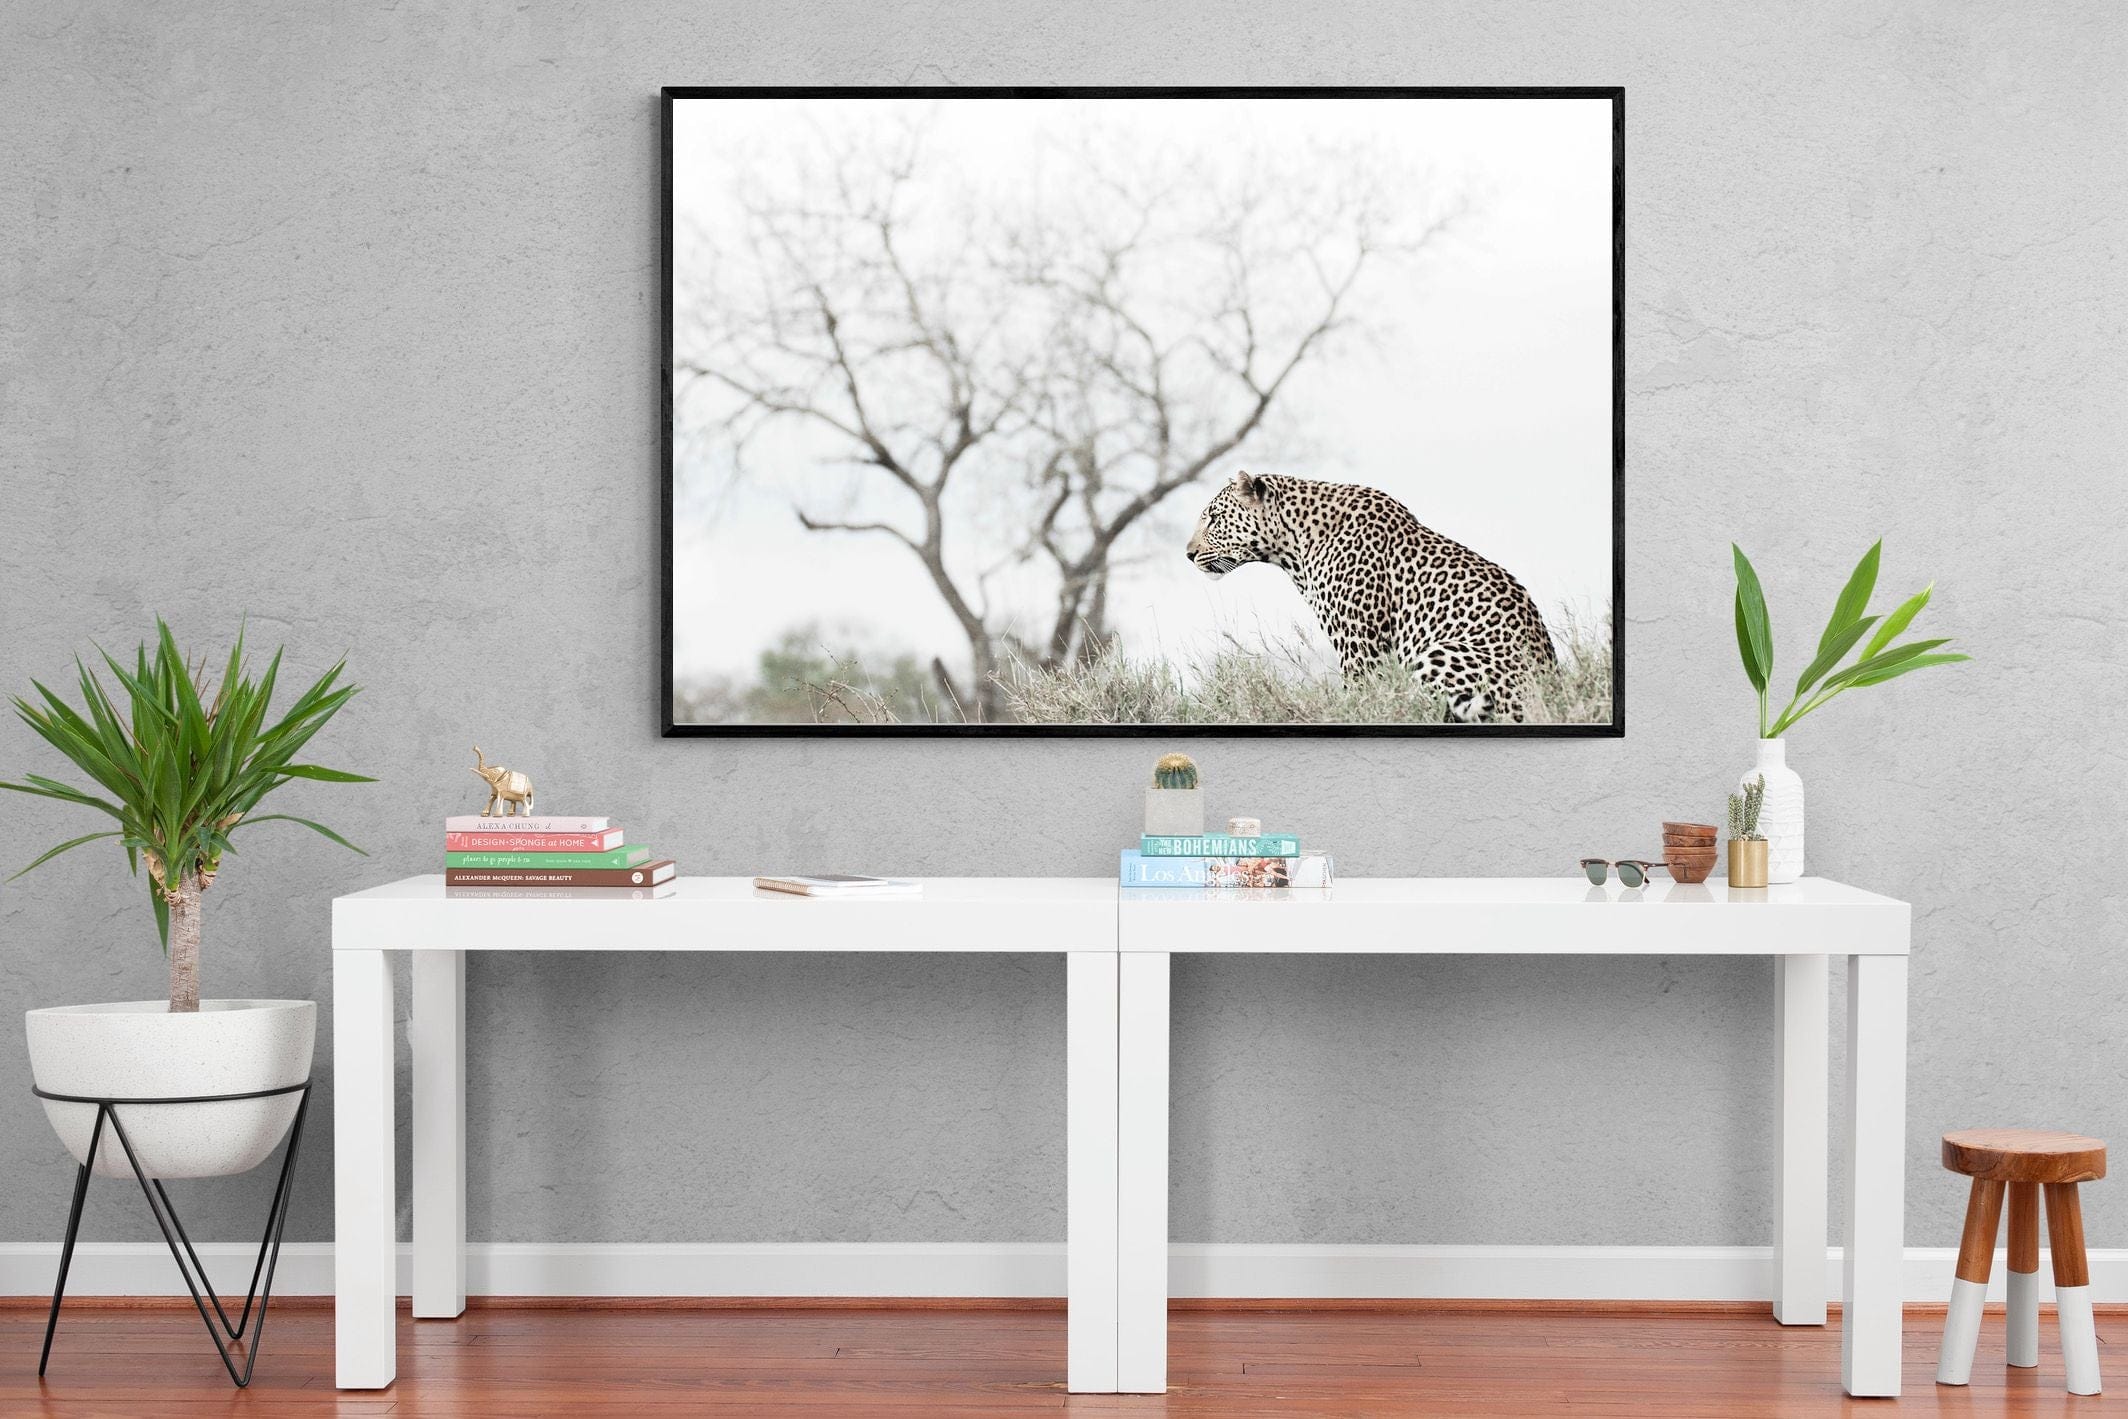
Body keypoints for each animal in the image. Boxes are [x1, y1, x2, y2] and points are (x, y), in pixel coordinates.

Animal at [1184, 469, 1558, 723]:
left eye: (1214, 518)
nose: (1188, 554)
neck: (1292, 545)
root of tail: (1550, 684)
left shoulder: (1359, 644)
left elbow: (1360, 698)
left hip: (1440, 653)